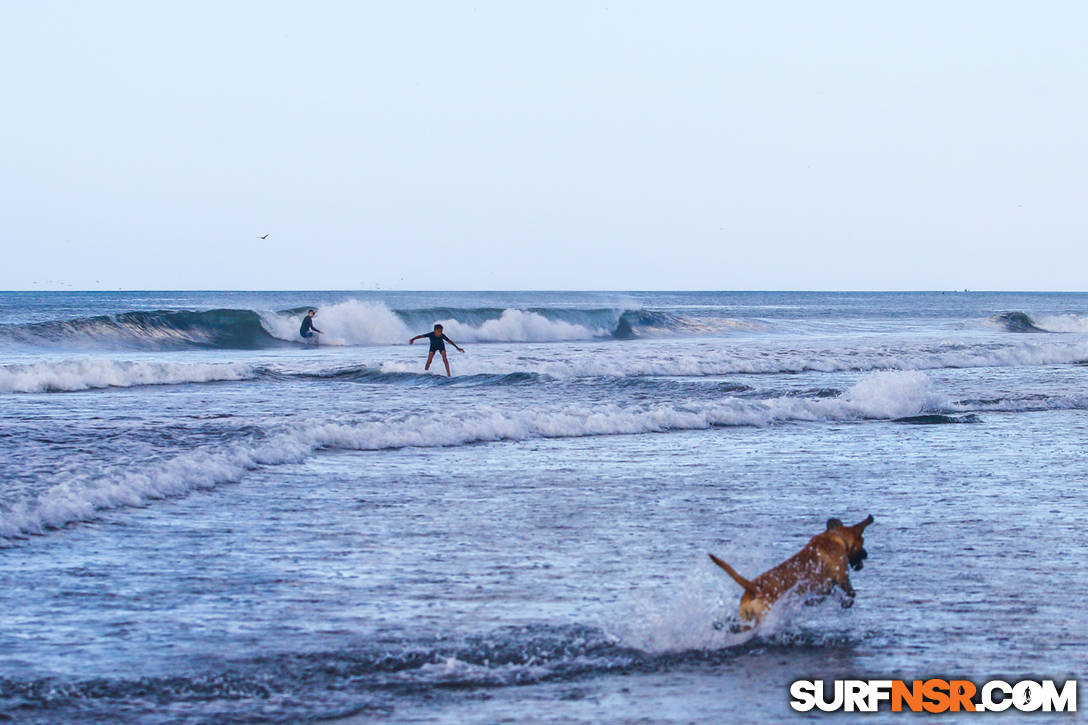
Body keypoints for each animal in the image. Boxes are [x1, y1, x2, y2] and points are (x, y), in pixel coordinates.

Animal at [705, 513, 874, 627]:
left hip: (745, 619)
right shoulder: (841, 578)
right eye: (863, 542)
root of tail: (753, 587)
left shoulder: (824, 589)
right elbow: (851, 594)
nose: (867, 554)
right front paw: (846, 603)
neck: (837, 537)